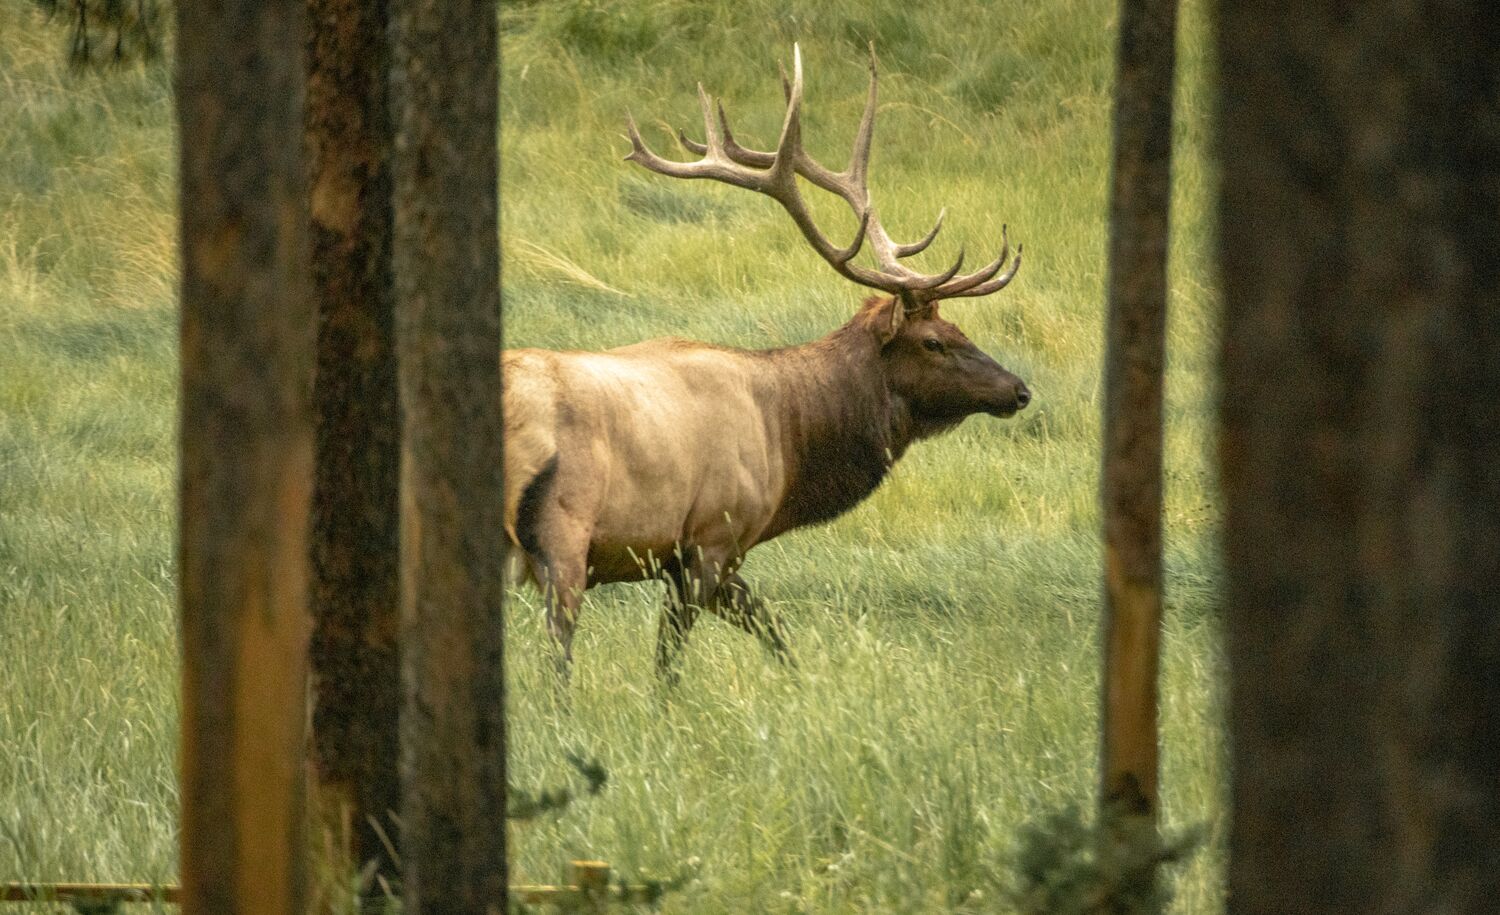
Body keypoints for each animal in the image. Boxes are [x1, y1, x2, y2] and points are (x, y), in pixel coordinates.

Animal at [504, 44, 1030, 681]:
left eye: (959, 329)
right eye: (933, 342)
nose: (1019, 389)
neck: (789, 440)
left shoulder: (700, 557)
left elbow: (775, 632)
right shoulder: (712, 537)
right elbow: (670, 661)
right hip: (564, 531)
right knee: (559, 653)